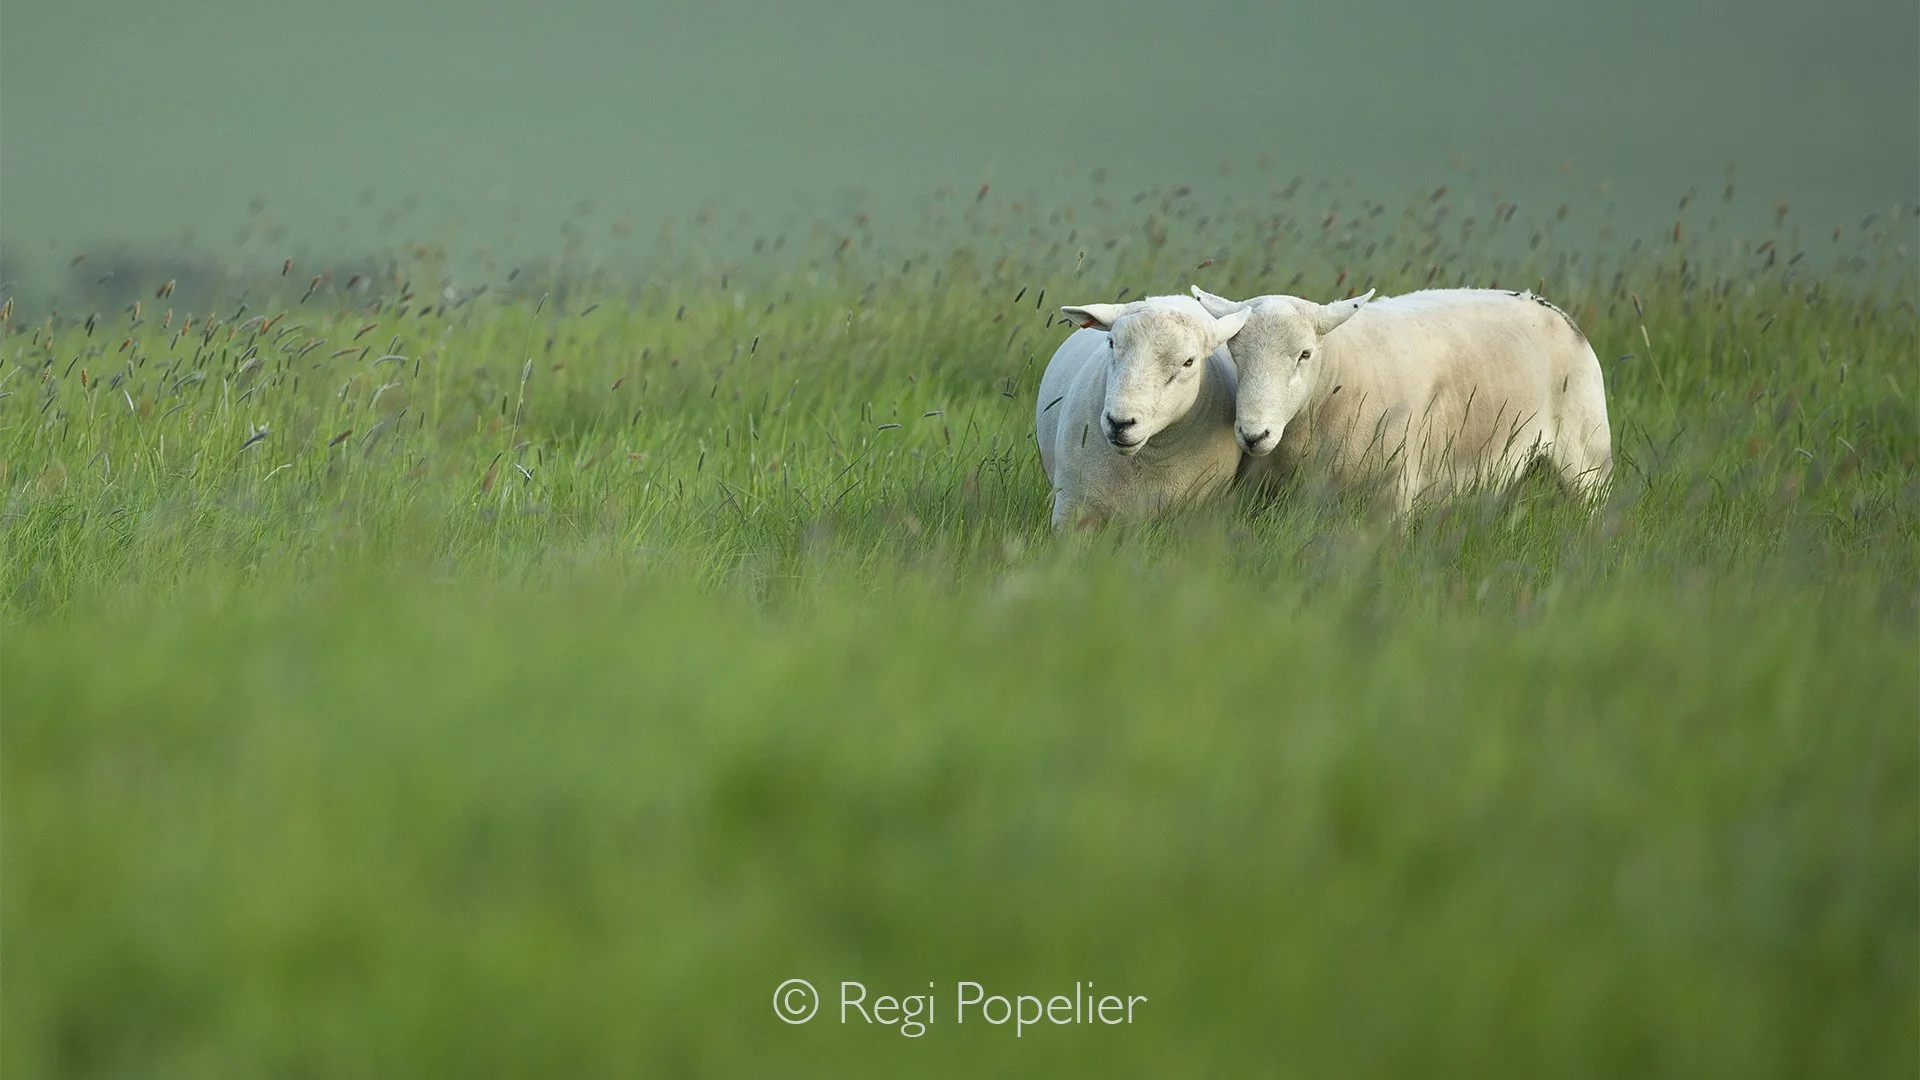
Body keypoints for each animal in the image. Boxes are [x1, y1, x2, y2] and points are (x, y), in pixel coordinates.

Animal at [1189, 285, 1613, 512]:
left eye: (1304, 354)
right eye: (1235, 353)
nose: (1253, 435)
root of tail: (1551, 308)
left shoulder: (1391, 494)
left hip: (1587, 455)